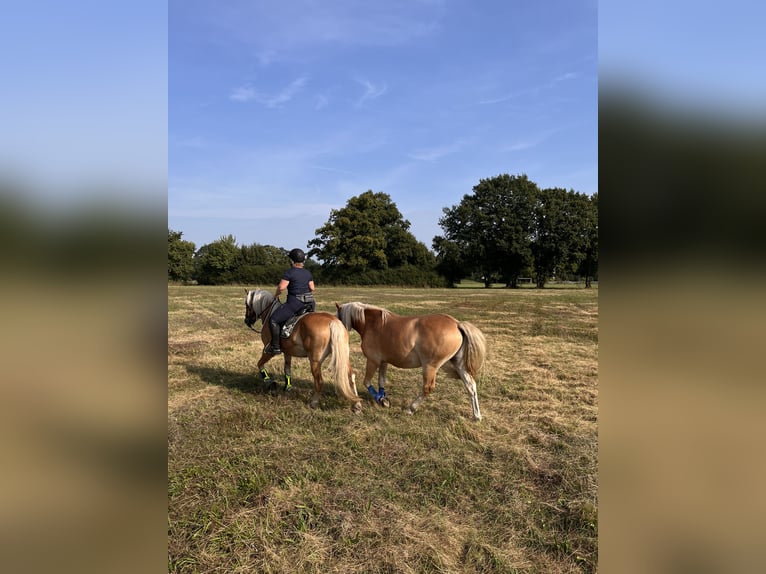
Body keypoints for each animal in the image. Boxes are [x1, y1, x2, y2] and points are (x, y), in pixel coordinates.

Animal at [334, 304, 486, 420]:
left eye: (338, 318)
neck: (372, 324)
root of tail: (456, 324)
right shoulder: (383, 362)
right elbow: (381, 381)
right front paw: (383, 399)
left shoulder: (373, 361)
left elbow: (367, 382)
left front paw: (379, 399)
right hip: (459, 365)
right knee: (471, 387)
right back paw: (476, 416)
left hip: (430, 367)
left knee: (427, 388)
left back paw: (411, 409)